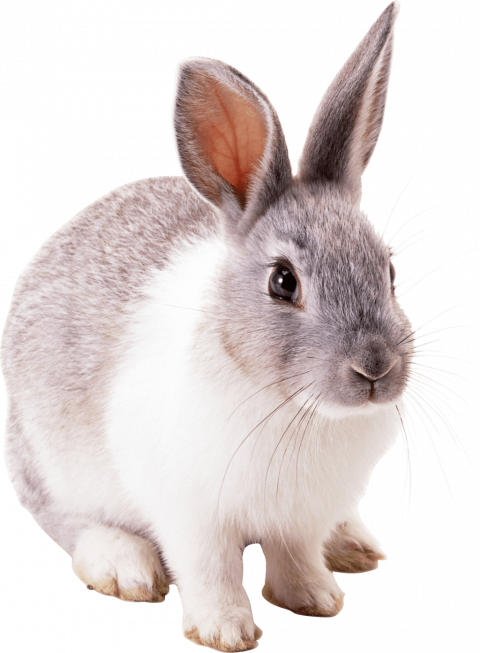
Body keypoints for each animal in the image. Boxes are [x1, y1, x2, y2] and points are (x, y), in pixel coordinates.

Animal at [2, 1, 414, 651]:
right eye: (283, 282)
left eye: (389, 270)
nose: (376, 369)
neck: (292, 409)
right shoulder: (191, 514)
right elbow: (209, 567)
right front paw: (225, 629)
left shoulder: (299, 517)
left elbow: (295, 555)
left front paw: (315, 598)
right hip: (52, 463)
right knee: (68, 519)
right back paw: (125, 566)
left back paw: (352, 544)